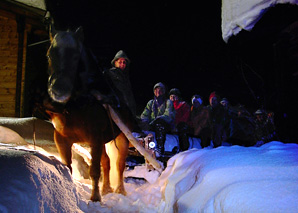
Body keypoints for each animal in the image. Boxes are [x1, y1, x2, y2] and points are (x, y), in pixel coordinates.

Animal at [45, 26, 134, 201]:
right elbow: (67, 168)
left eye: (75, 56)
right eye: (50, 54)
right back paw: (106, 189)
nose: (58, 90)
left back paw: (120, 190)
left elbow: (94, 170)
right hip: (105, 142)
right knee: (107, 163)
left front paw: (95, 198)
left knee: (119, 165)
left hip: (121, 138)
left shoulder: (95, 139)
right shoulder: (61, 139)